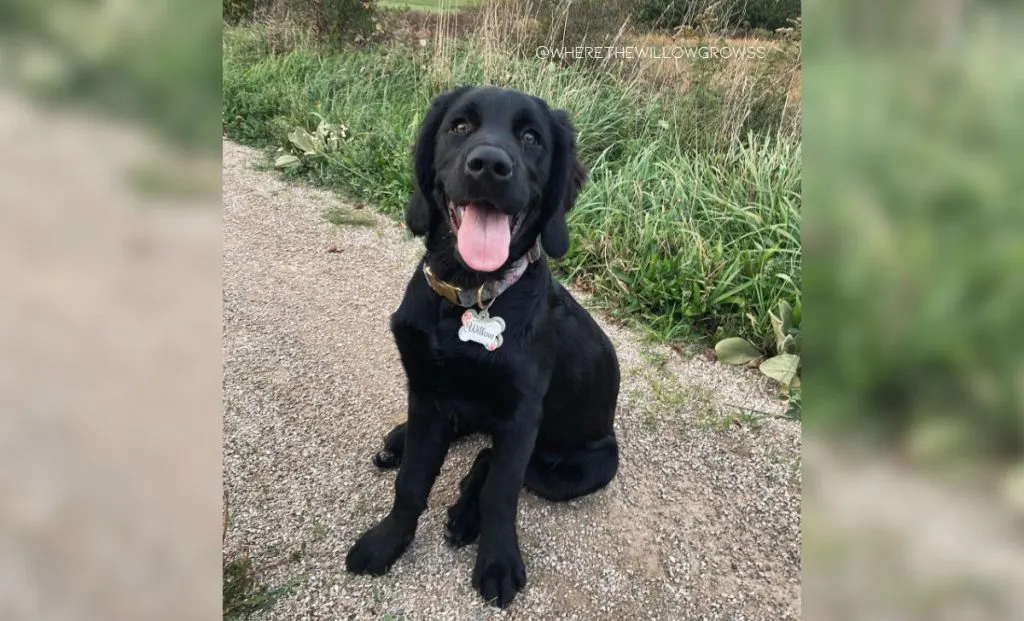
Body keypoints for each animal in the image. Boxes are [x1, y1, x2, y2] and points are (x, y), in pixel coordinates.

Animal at [344, 86, 618, 606]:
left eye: (532, 138)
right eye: (460, 126)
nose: (490, 165)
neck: (471, 294)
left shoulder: (521, 417)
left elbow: (500, 492)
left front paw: (497, 562)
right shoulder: (427, 392)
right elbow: (412, 481)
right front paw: (388, 541)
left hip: (584, 468)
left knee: (490, 460)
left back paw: (464, 516)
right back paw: (399, 442)